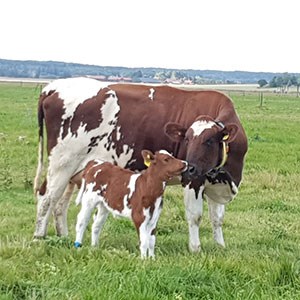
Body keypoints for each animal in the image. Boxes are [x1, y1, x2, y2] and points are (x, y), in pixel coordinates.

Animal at [34, 77, 247, 253]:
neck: (226, 175)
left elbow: (217, 218)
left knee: (60, 204)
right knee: (47, 198)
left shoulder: (215, 182)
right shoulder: (193, 180)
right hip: (62, 163)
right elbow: (195, 216)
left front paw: (220, 246)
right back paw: (38, 238)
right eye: (186, 139)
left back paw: (63, 237)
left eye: (209, 141)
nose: (190, 165)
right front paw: (195, 249)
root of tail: (52, 87)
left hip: (75, 171)